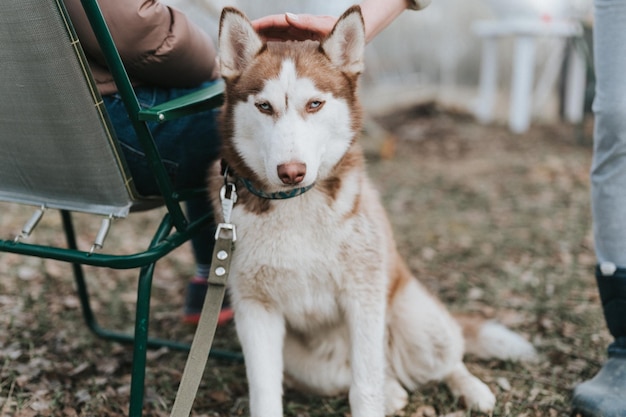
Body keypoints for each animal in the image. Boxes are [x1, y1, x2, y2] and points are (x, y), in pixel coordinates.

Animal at [212, 6, 532, 416]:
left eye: (314, 104)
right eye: (264, 106)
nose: (291, 171)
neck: (296, 201)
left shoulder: (363, 296)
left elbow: (364, 388)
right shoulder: (255, 309)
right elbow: (266, 392)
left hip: (418, 323)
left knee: (445, 360)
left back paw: (471, 388)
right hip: (306, 362)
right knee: (357, 376)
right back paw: (394, 391)